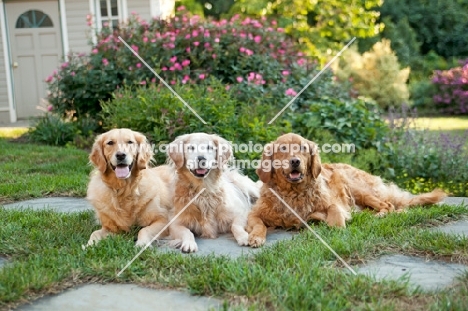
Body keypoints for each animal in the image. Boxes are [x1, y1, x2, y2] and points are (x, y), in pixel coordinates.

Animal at [247, 133, 448, 247]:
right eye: (282, 148)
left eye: (303, 148)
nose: (295, 161)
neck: (293, 193)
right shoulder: (255, 213)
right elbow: (258, 224)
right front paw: (256, 237)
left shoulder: (333, 203)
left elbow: (335, 210)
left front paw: (337, 227)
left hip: (356, 188)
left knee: (389, 205)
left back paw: (381, 215)